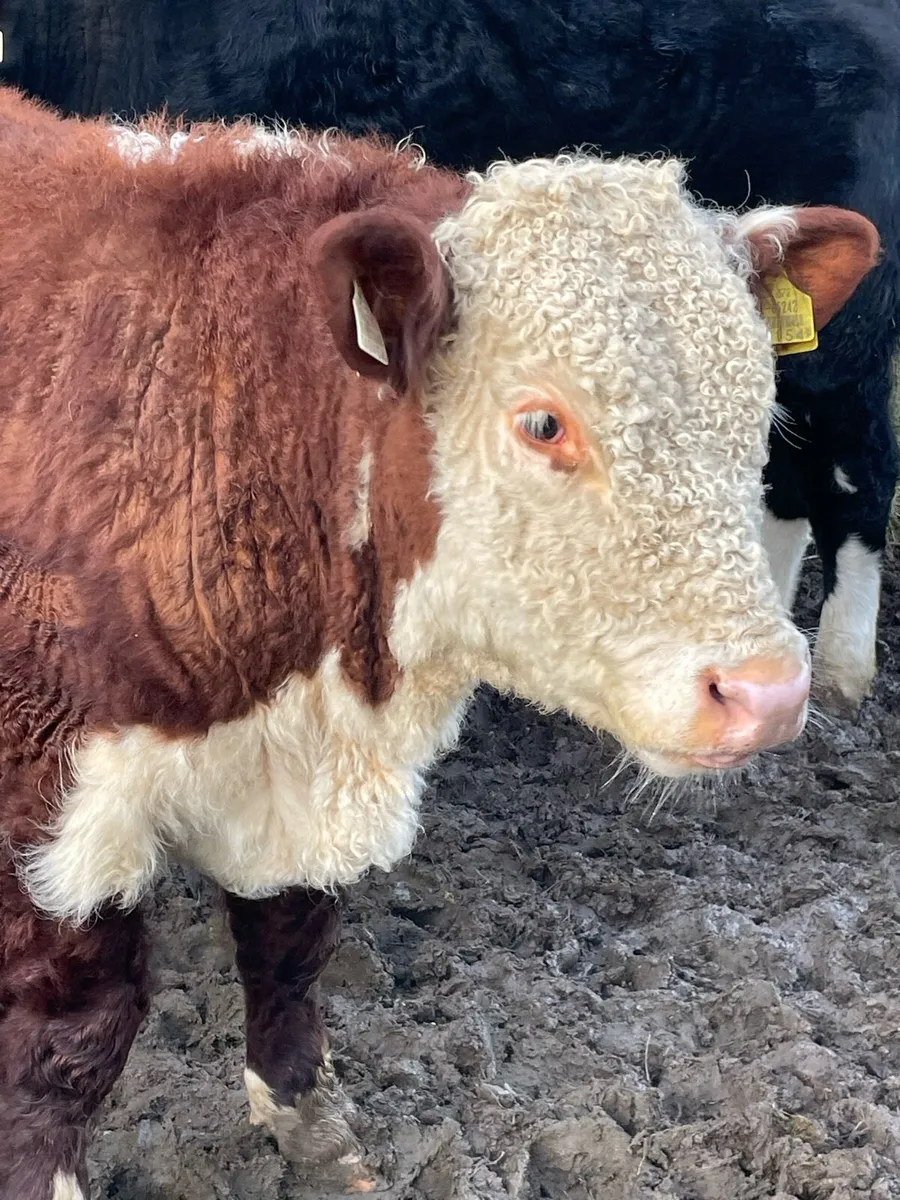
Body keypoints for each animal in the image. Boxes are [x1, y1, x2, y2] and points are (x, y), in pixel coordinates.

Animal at [0, 88, 879, 1197]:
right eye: (543, 422)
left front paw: (309, 1124)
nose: (765, 692)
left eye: (757, 405)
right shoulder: (45, 802)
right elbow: (75, 1032)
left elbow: (290, 944)